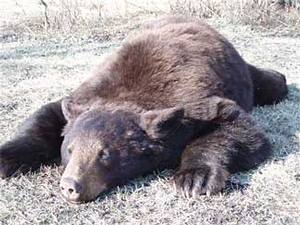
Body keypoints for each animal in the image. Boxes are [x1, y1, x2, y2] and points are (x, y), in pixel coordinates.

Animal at [0, 14, 288, 203]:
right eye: (69, 150)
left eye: (104, 154)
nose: (70, 186)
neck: (127, 96)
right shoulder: (85, 96)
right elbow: (46, 117)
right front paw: (7, 157)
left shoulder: (193, 102)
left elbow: (239, 127)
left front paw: (195, 178)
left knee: (271, 84)